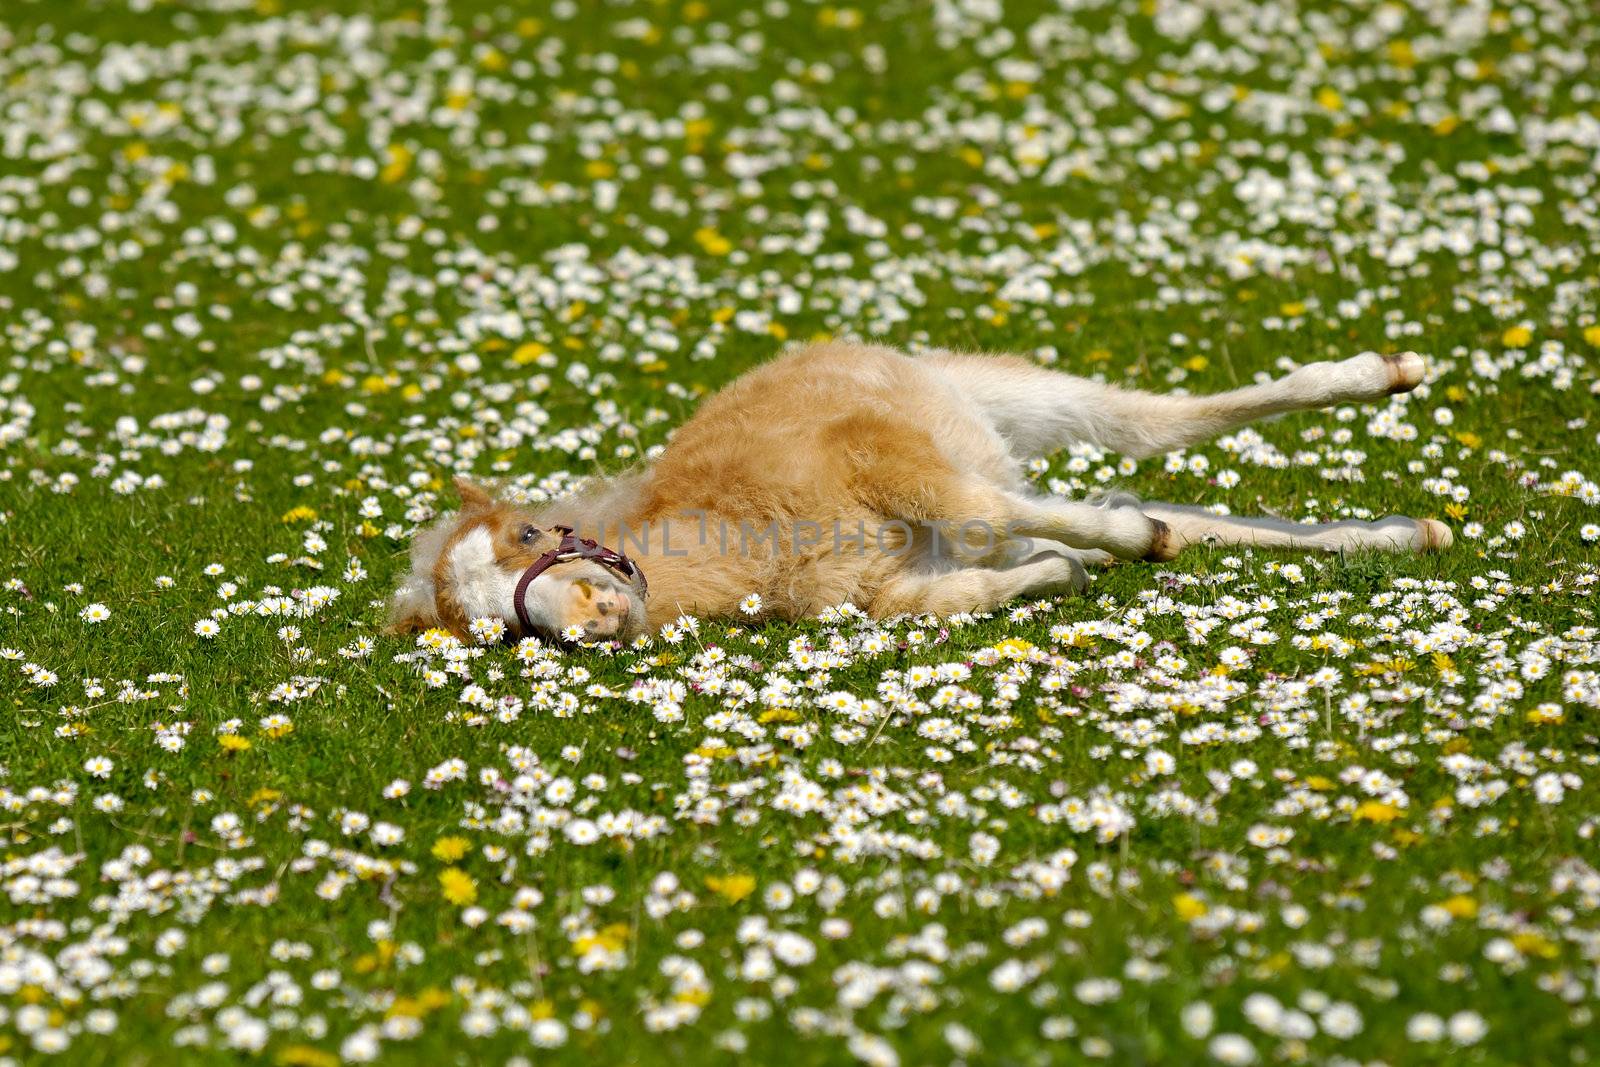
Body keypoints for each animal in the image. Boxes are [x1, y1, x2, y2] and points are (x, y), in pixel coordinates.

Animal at [387, 343, 1452, 643]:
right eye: (504, 631)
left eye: (536, 531)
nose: (598, 612)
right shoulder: (892, 591)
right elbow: (985, 578)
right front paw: (1069, 565)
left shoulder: (883, 458)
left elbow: (989, 510)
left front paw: (1120, 538)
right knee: (1191, 511)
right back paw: (1406, 534)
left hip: (990, 396)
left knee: (1150, 426)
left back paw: (1388, 375)